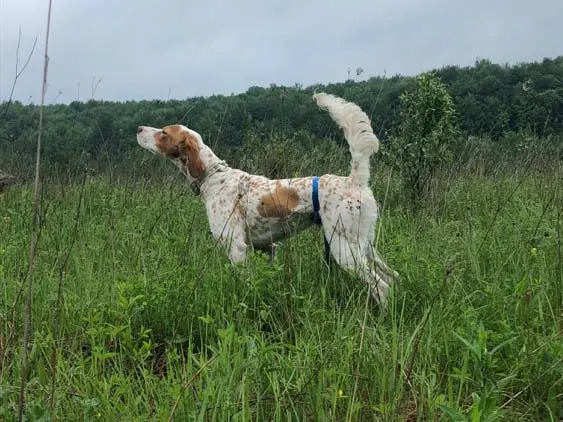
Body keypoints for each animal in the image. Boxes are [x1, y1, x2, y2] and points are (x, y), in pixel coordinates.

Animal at [137, 92, 398, 304]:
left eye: (164, 132)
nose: (139, 128)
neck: (214, 177)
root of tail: (354, 180)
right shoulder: (267, 247)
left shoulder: (236, 248)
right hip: (364, 246)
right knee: (393, 276)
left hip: (344, 249)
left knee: (382, 285)